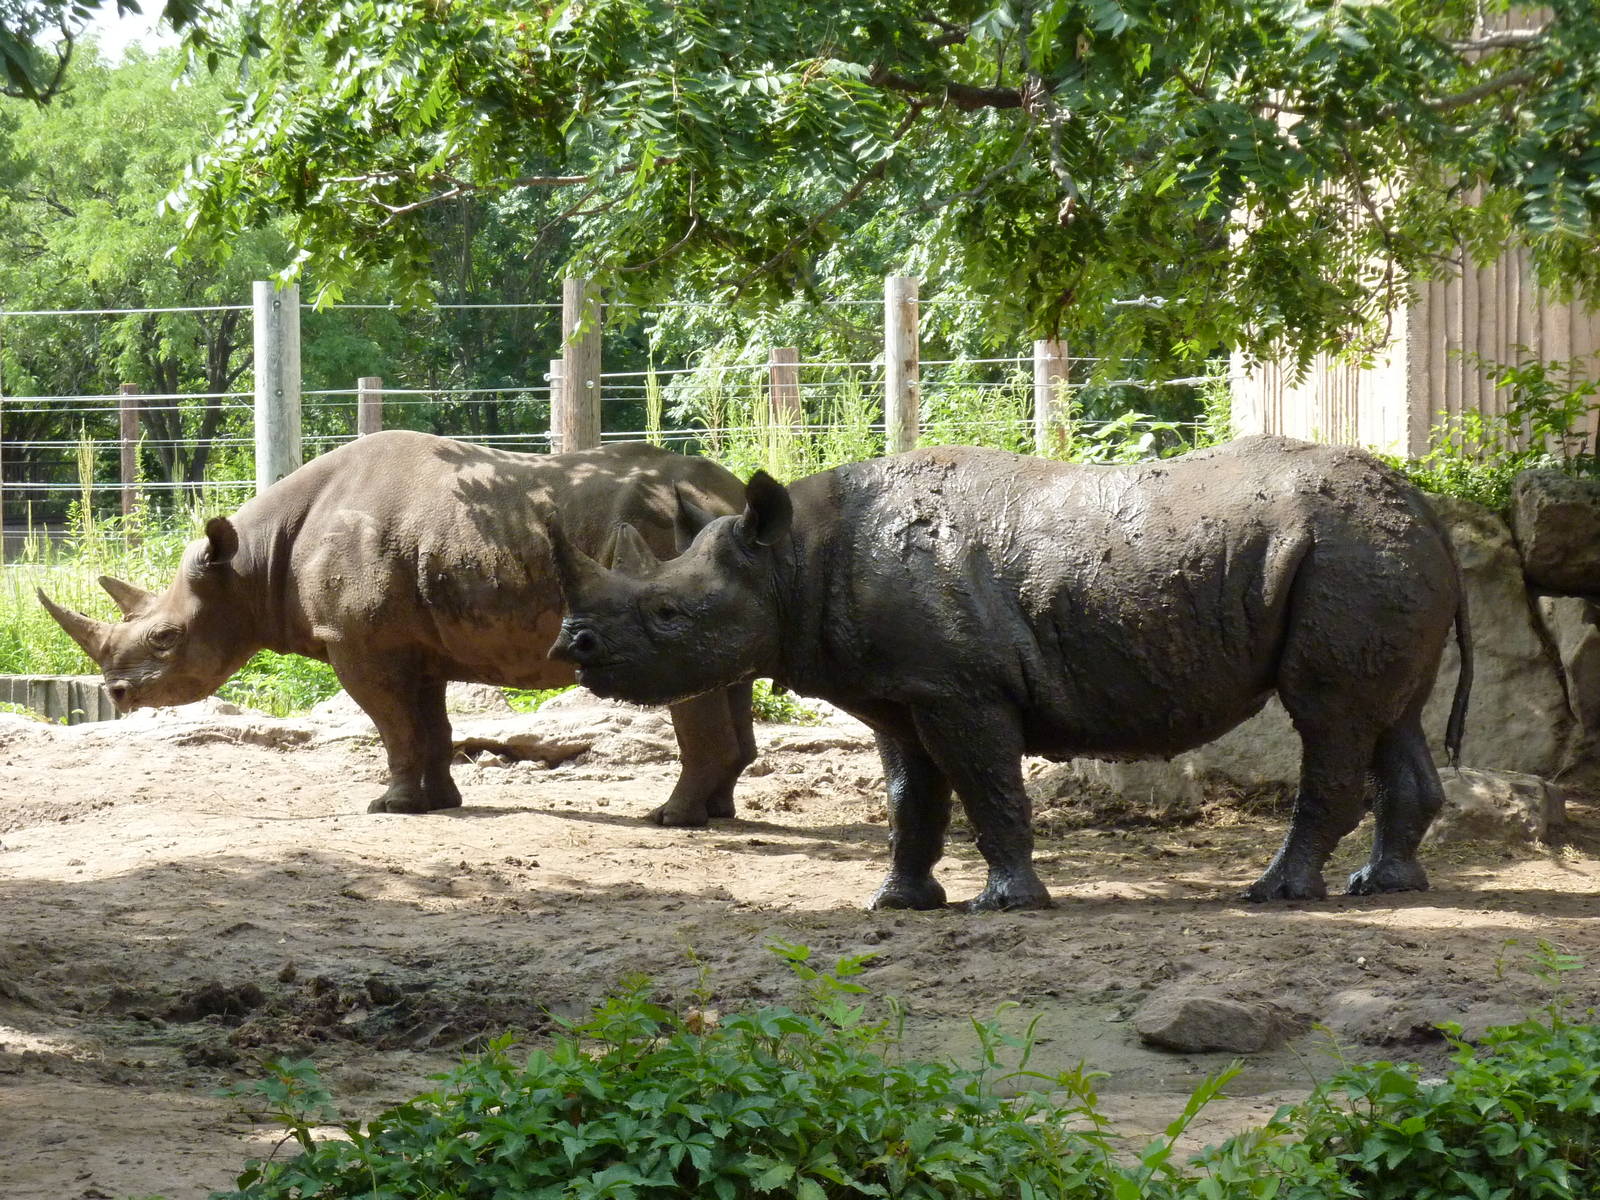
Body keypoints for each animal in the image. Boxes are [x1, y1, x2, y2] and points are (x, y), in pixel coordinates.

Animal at [39, 431, 756, 824]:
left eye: (165, 639)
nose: (117, 695)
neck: (249, 561)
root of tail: (729, 499)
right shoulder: (413, 643)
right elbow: (428, 725)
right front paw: (439, 804)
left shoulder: (358, 642)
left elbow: (393, 726)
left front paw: (390, 806)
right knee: (733, 673)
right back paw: (714, 812)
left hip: (662, 540)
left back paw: (670, 819)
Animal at [549, 435, 1472, 911]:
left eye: (668, 615)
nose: (573, 647)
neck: (793, 558)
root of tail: (1428, 507)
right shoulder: (898, 689)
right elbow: (910, 796)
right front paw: (898, 904)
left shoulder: (960, 688)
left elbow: (988, 784)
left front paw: (1007, 903)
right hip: (1371, 551)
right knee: (1390, 715)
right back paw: (1382, 887)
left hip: (1348, 552)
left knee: (1329, 715)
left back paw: (1277, 893)